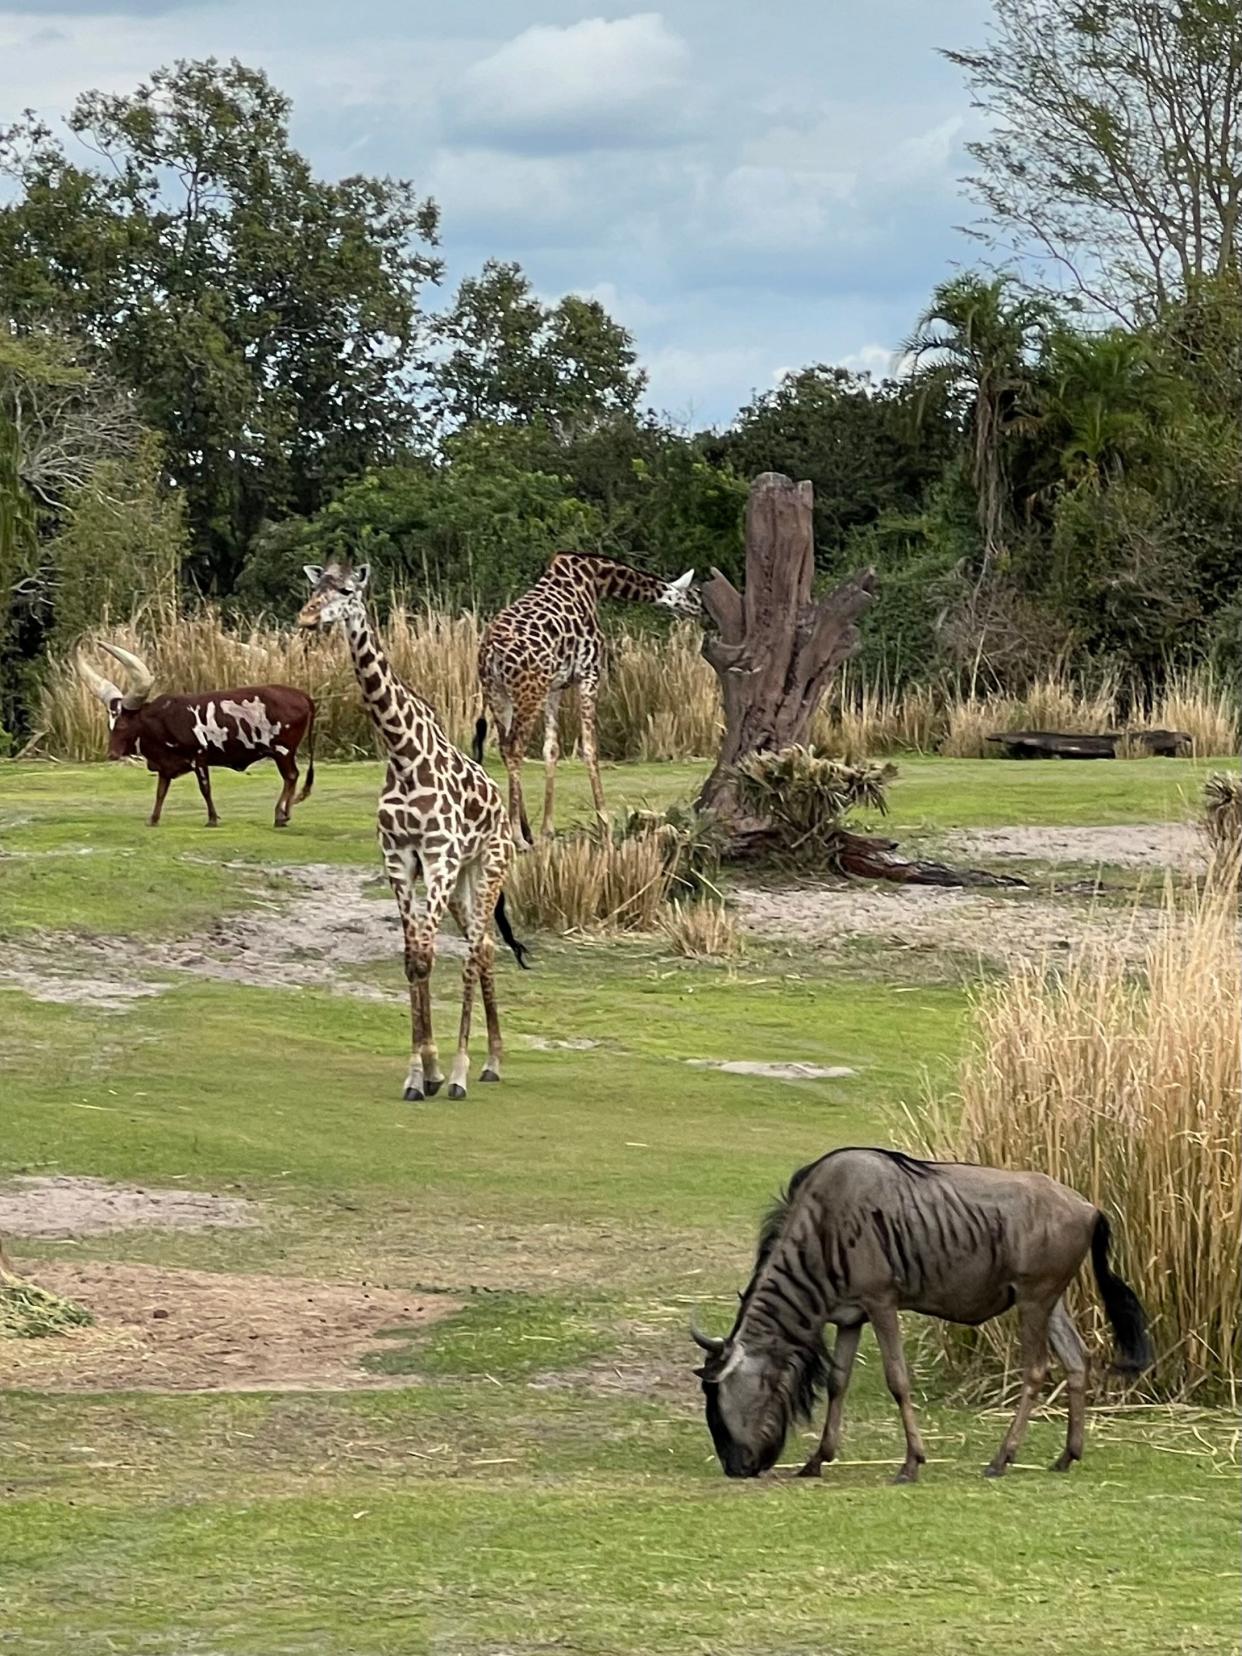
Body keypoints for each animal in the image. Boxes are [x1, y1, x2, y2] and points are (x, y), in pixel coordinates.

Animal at [304, 563, 533, 1106]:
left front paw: (439, 1073)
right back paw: (491, 1062)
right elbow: (414, 958)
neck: (402, 753)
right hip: (461, 879)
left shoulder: (438, 854)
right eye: (312, 587)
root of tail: (501, 806)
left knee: (473, 950)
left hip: (487, 865)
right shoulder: (400, 857)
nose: (307, 618)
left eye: (347, 591)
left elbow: (428, 956)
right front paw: (419, 1073)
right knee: (482, 944)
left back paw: (467, 1071)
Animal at [473, 553, 695, 847]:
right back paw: (518, 836)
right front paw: (605, 826)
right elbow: (590, 747)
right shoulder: (590, 673)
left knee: (505, 746)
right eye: (691, 594)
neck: (596, 579)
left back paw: (519, 830)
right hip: (528, 691)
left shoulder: (555, 686)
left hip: (498, 693)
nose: (697, 610)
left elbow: (551, 749)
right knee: (515, 747)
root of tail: (491, 652)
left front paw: (547, 830)